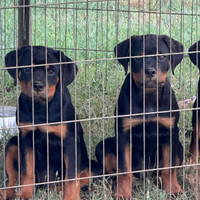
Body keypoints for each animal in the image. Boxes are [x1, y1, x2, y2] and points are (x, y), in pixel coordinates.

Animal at [1, 45, 101, 200]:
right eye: (27, 69)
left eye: (51, 71)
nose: (38, 86)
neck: (41, 108)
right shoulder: (26, 138)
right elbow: (26, 170)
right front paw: (25, 194)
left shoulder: (70, 142)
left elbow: (71, 177)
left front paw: (71, 197)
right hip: (12, 143)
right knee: (13, 179)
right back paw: (7, 193)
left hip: (94, 167)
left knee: (69, 182)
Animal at [95, 34, 184, 198]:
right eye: (137, 57)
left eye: (162, 56)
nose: (150, 71)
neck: (148, 96)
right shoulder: (123, 133)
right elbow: (124, 169)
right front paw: (123, 193)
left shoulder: (171, 131)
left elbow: (169, 167)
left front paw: (174, 189)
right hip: (102, 147)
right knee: (119, 172)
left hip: (179, 147)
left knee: (160, 170)